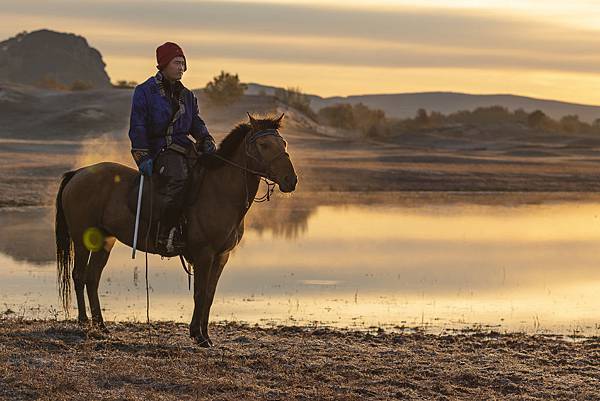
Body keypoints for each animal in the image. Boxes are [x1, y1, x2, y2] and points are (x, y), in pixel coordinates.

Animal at [54, 112, 298, 344]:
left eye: (284, 143)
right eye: (264, 145)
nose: (291, 180)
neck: (220, 191)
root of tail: (78, 173)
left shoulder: (221, 256)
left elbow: (209, 294)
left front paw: (205, 335)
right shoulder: (204, 254)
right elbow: (200, 293)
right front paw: (198, 335)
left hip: (104, 241)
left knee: (92, 278)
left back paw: (101, 327)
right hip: (81, 238)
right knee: (79, 275)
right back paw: (84, 323)